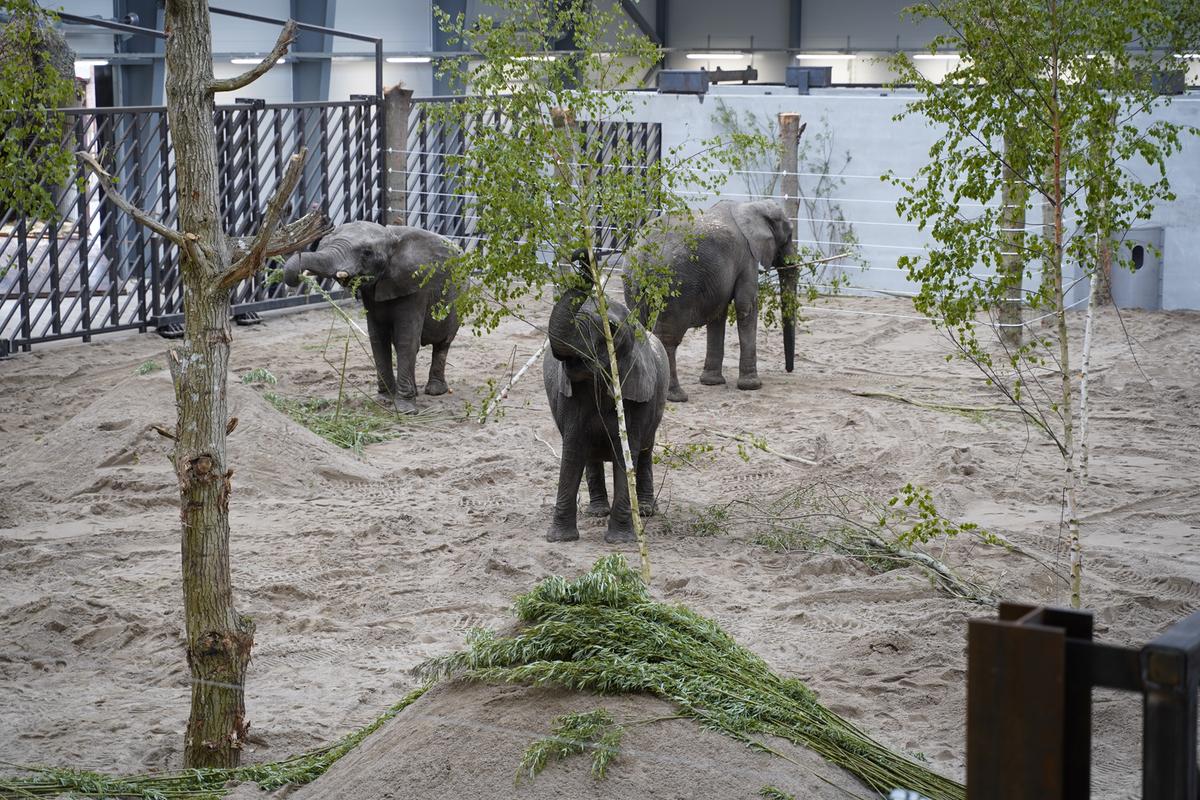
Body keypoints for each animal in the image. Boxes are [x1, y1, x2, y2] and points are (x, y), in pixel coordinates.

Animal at [283, 221, 460, 417]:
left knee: (443, 343)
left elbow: (406, 340)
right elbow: (378, 339)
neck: (391, 237)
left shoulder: (416, 285)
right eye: (323, 243)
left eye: (367, 252)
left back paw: (435, 390)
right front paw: (385, 400)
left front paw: (405, 410)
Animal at [547, 255, 672, 544]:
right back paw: (597, 511)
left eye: (611, 329)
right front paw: (560, 539)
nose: (583, 257)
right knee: (589, 456)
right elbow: (572, 451)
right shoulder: (570, 396)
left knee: (645, 451)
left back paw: (645, 510)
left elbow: (626, 454)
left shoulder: (637, 393)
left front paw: (620, 541)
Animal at [619, 197, 796, 402]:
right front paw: (752, 386)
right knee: (668, 339)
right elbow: (746, 306)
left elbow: (718, 313)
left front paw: (712, 382)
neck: (749, 206)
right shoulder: (747, 257)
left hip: (631, 282)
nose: (788, 370)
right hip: (674, 286)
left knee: (642, 331)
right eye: (789, 235)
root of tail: (643, 256)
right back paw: (676, 396)